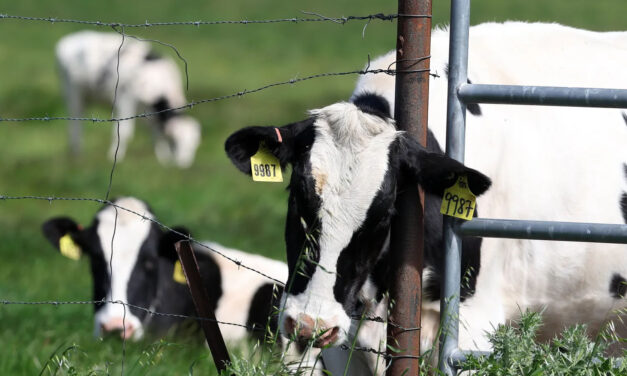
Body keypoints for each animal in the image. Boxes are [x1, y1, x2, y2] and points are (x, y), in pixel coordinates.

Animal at [56, 30, 200, 167]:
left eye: (194, 146)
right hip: (72, 93)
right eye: (175, 142)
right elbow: (124, 132)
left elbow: (156, 134)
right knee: (75, 125)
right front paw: (115, 158)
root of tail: (68, 40)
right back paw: (77, 153)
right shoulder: (125, 100)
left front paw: (163, 160)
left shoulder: (149, 113)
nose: (183, 164)